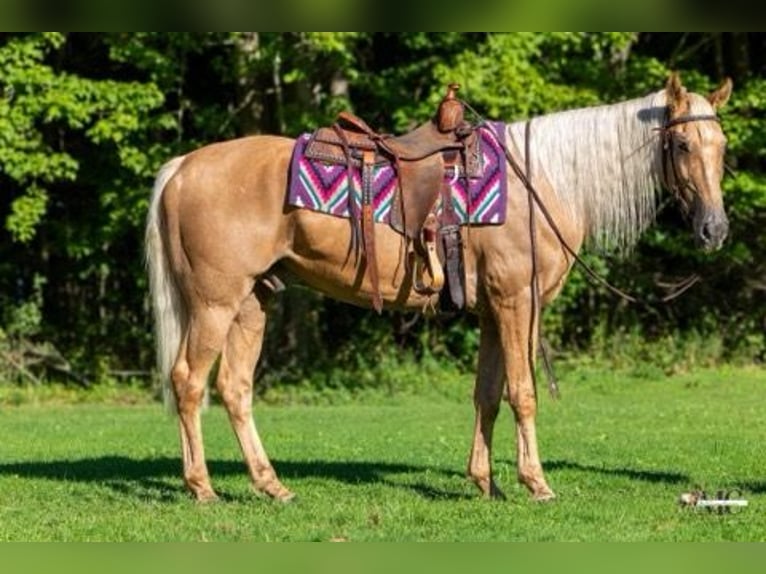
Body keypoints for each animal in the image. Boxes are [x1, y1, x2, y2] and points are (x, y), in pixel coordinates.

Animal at [145, 72, 732, 502]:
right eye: (682, 143)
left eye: (721, 145)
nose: (714, 229)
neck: (543, 181)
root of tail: (182, 167)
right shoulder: (518, 302)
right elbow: (522, 393)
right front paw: (536, 483)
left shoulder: (493, 309)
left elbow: (488, 394)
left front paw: (485, 482)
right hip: (215, 303)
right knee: (189, 382)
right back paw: (202, 488)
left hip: (253, 302)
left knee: (235, 388)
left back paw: (272, 487)